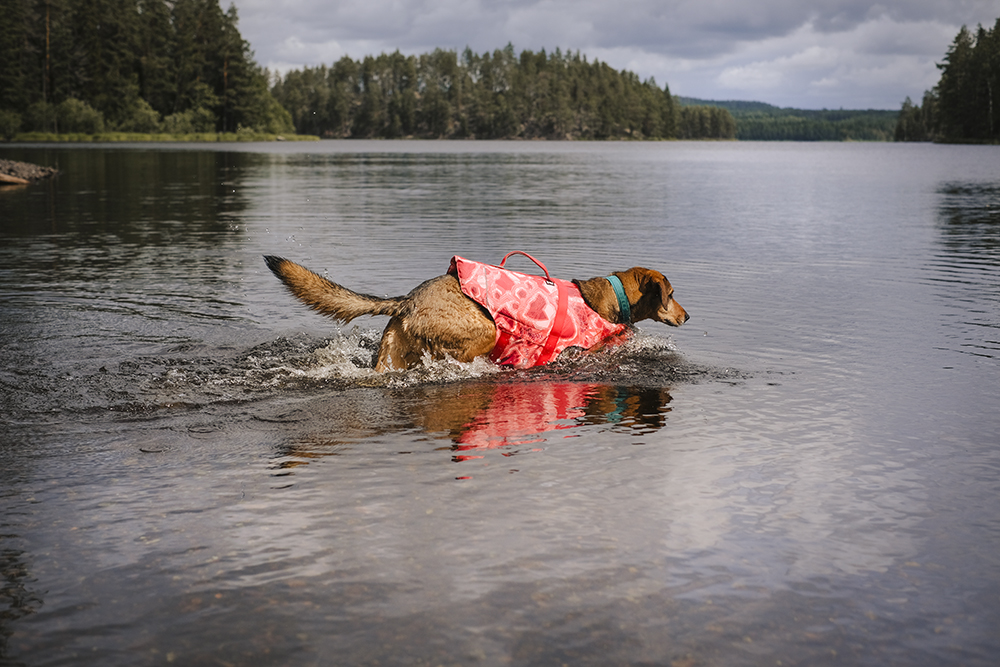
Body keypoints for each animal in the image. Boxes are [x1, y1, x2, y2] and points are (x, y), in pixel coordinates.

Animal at [266, 254, 688, 374]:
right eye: (671, 295)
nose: (687, 317)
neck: (613, 298)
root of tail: (408, 301)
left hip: (390, 354)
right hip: (484, 331)